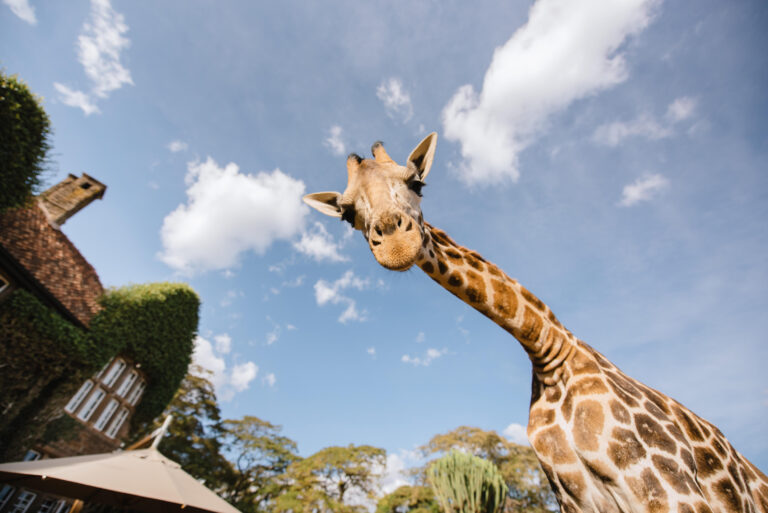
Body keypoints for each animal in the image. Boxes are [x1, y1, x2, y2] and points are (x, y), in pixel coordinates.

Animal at [303, 132, 768, 513]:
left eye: (417, 182)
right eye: (346, 215)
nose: (396, 245)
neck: (547, 352)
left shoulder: (668, 489)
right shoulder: (577, 500)